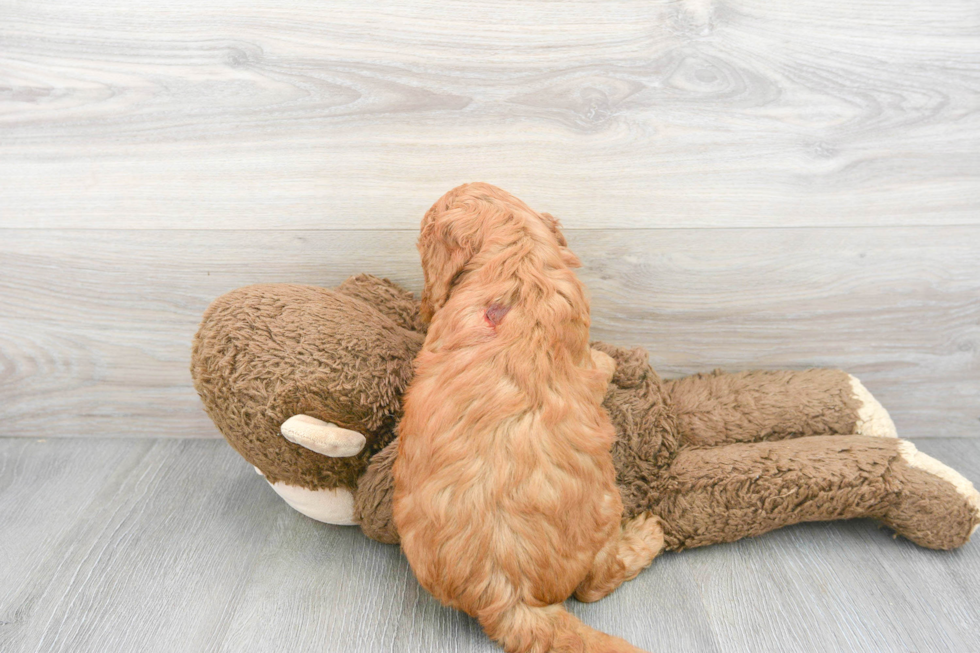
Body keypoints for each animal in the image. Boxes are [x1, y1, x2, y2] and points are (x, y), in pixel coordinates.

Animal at [394, 183, 664, 652]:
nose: (425, 304)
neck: (517, 255)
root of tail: (507, 597)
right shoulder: (584, 359)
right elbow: (600, 366)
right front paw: (611, 361)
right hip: (605, 511)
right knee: (594, 584)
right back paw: (647, 537)